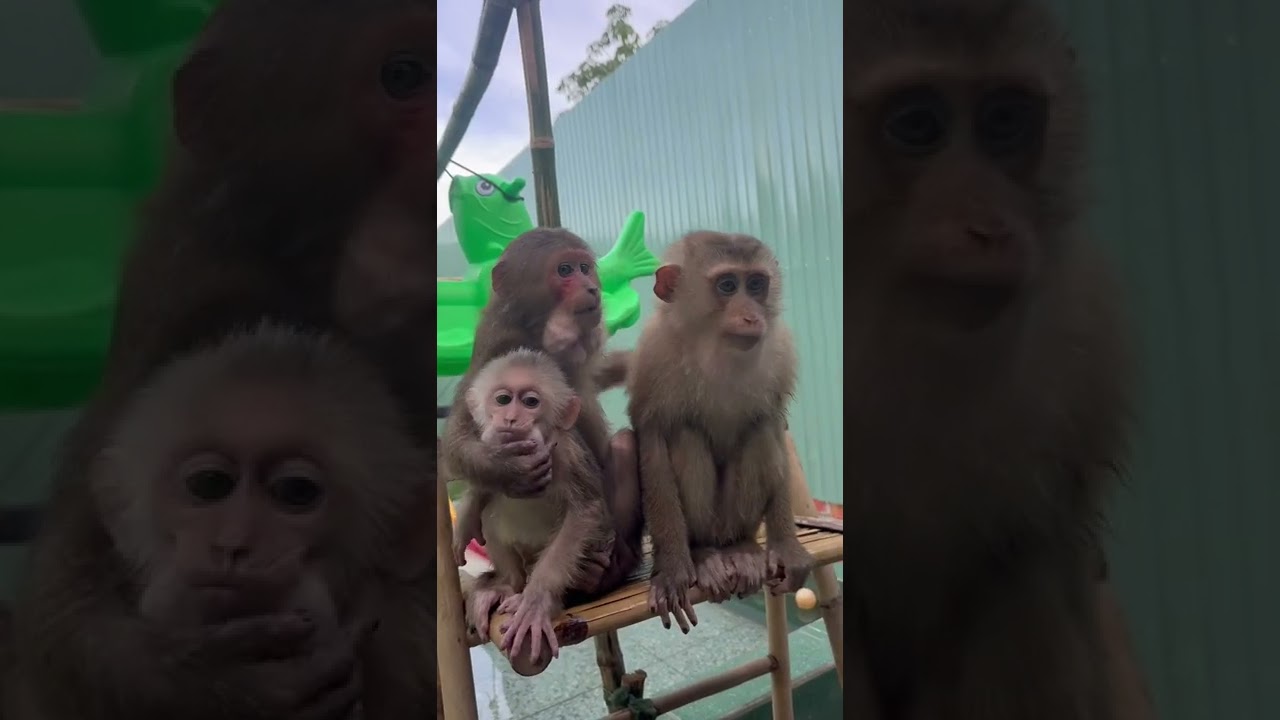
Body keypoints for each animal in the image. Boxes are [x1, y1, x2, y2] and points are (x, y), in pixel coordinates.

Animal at [441, 228, 644, 654]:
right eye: (564, 271)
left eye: (585, 268)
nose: (591, 287)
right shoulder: (495, 347)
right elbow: (456, 442)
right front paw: (509, 471)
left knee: (620, 446)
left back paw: (608, 568)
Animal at [626, 231, 811, 633]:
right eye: (727, 286)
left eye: (756, 285)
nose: (752, 315)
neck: (714, 347)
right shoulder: (653, 356)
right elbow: (653, 439)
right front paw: (673, 569)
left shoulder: (780, 352)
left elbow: (774, 423)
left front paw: (786, 546)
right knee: (684, 434)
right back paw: (703, 553)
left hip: (736, 518)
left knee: (760, 432)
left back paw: (740, 547)